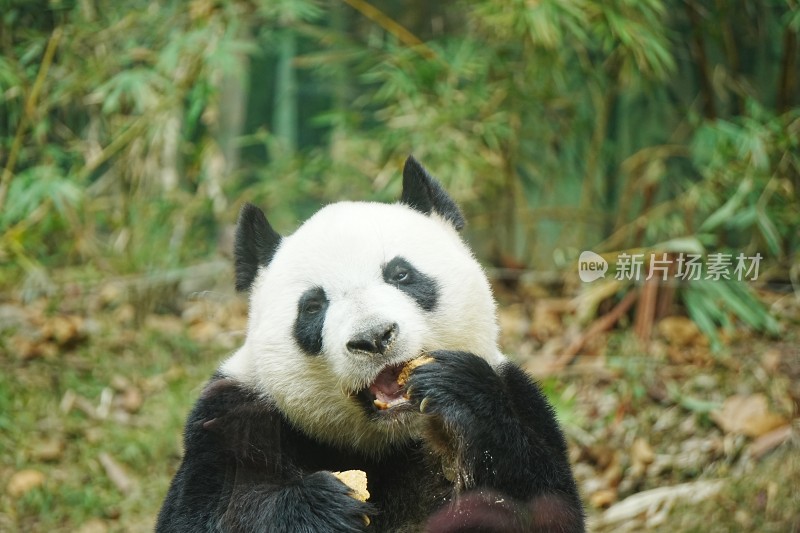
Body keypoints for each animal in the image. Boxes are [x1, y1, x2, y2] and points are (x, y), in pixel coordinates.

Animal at [156, 156, 584, 528]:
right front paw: (320, 507)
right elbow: (201, 514)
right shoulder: (229, 420)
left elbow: (544, 502)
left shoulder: (519, 397)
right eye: (313, 306)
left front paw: (457, 392)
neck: (387, 441)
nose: (374, 337)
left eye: (400, 274)